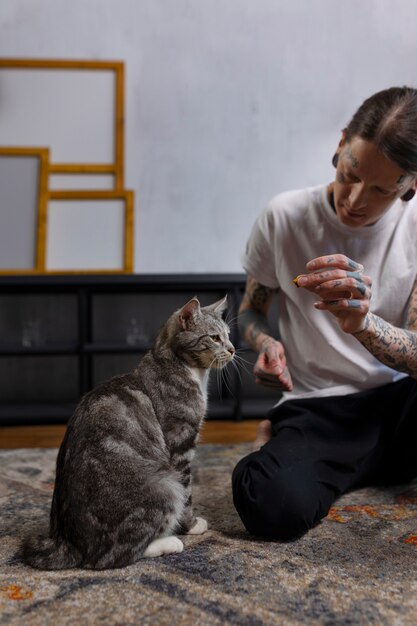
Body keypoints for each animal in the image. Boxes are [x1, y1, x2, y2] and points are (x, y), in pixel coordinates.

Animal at [22, 294, 234, 568]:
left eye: (228, 335)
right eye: (215, 337)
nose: (232, 349)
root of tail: (67, 543)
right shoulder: (180, 441)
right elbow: (187, 492)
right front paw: (191, 525)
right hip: (164, 487)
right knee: (112, 556)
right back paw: (169, 543)